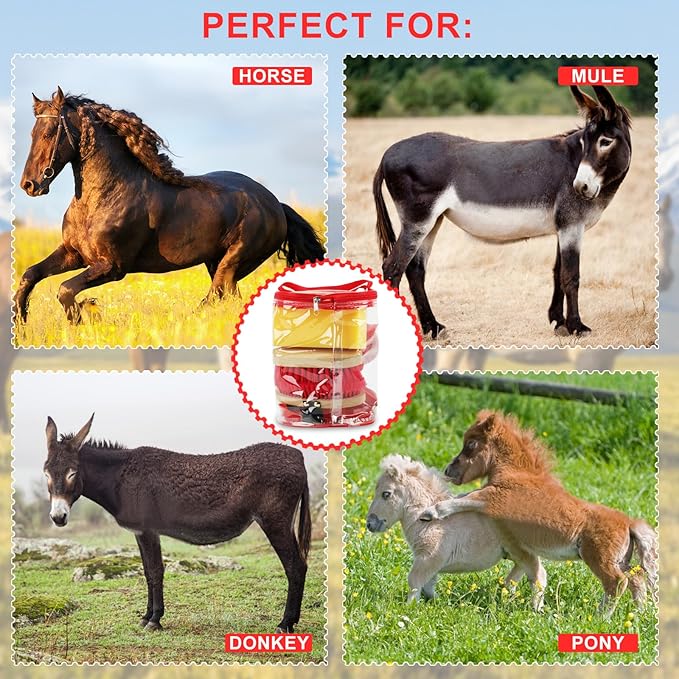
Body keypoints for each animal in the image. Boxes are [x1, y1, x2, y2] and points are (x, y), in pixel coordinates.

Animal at [15, 87, 325, 324]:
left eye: (50, 132)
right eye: (31, 133)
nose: (29, 185)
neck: (103, 197)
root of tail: (276, 204)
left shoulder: (112, 266)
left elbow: (65, 290)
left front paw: (87, 314)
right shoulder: (74, 254)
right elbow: (30, 275)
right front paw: (21, 321)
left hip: (234, 261)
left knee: (217, 294)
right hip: (217, 262)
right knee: (227, 297)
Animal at [42, 415, 312, 633]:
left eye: (72, 472)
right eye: (46, 472)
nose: (58, 517)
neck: (120, 478)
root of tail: (299, 457)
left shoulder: (148, 530)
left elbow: (155, 571)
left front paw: (154, 620)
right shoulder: (140, 532)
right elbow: (147, 572)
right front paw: (146, 617)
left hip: (275, 522)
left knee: (296, 567)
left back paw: (285, 624)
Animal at [365, 454, 538, 606]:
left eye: (386, 494)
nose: (370, 524)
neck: (430, 522)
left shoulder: (429, 557)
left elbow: (414, 580)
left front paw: (409, 607)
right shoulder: (429, 561)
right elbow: (428, 585)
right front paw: (437, 602)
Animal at [373, 85, 632, 339]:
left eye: (605, 141)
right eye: (586, 144)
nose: (580, 187)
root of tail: (386, 154)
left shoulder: (564, 227)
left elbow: (558, 272)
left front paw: (559, 322)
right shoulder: (572, 226)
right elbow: (571, 276)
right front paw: (576, 326)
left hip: (432, 221)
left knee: (415, 269)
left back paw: (433, 327)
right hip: (418, 221)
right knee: (393, 268)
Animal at [419, 410, 658, 617]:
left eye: (471, 444)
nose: (449, 470)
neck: (518, 474)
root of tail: (629, 523)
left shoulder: (493, 497)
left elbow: (464, 498)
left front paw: (429, 513)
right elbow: (463, 496)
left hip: (598, 558)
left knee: (617, 582)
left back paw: (601, 617)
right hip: (620, 559)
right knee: (637, 577)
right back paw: (639, 613)